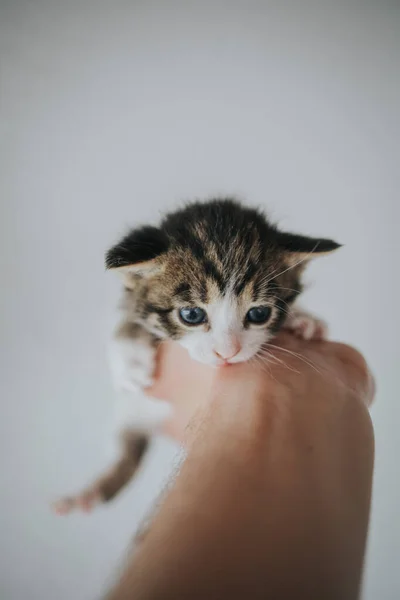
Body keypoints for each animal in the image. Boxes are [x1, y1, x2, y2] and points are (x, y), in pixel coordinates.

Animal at [54, 198, 340, 516]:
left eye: (259, 313)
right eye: (191, 315)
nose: (227, 352)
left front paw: (304, 319)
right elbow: (127, 320)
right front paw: (131, 360)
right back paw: (90, 493)